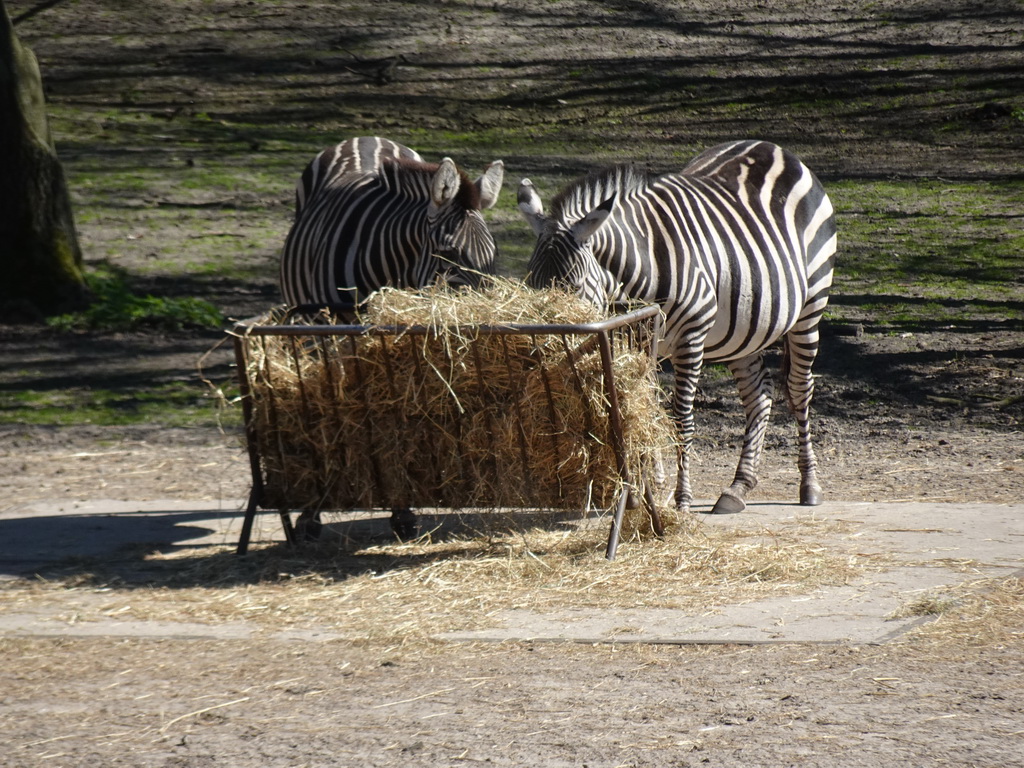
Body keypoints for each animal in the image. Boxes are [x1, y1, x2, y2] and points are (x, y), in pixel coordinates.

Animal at [516, 143, 835, 518]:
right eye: (531, 282)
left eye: (574, 285)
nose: (541, 347)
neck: (640, 271)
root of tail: (771, 147)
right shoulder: (637, 339)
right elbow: (645, 410)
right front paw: (649, 488)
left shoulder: (691, 337)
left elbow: (681, 417)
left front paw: (681, 497)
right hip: (745, 327)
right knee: (760, 394)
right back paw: (738, 487)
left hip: (811, 305)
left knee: (799, 389)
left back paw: (809, 484)